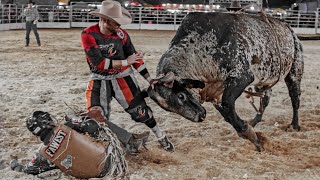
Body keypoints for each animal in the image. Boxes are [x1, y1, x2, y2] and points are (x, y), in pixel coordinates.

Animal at [146, 11, 304, 151]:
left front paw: (250, 134)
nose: (200, 116)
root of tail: (288, 28)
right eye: (168, 108)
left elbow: (227, 103)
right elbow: (226, 113)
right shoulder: (214, 91)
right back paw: (254, 121)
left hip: (295, 71)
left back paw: (295, 125)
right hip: (264, 80)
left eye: (181, 96)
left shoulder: (242, 76)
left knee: (295, 98)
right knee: (264, 99)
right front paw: (249, 132)